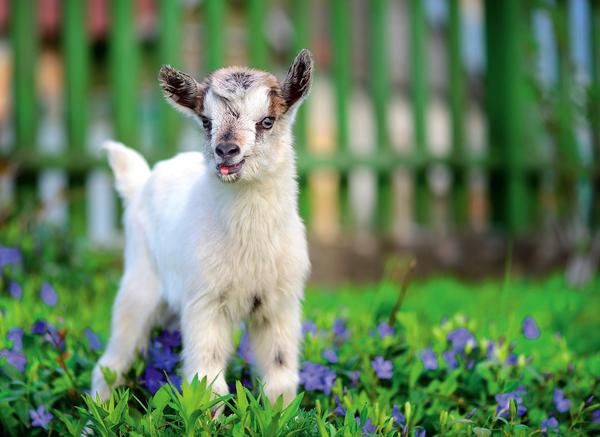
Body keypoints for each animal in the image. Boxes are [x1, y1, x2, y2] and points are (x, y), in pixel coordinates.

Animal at [92, 49, 314, 404]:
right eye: (206, 121)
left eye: (267, 121)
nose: (226, 151)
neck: (249, 243)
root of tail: (139, 183)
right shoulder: (205, 302)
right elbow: (208, 384)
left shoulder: (280, 304)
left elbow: (280, 381)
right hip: (138, 285)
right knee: (110, 363)